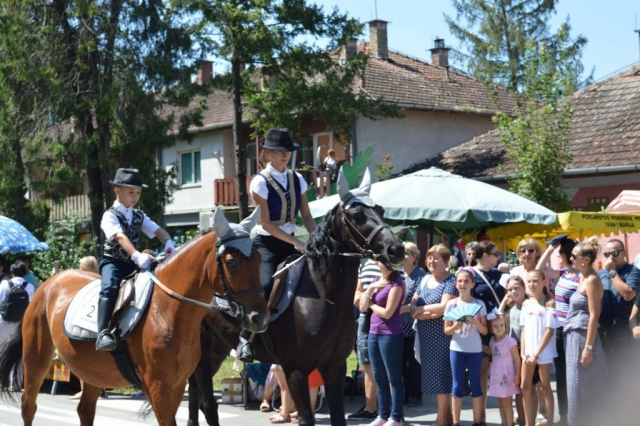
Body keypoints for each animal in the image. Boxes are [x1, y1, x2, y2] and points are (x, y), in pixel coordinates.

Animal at [0, 209, 268, 426]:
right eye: (231, 263)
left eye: (259, 259)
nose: (260, 318)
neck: (167, 310)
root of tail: (49, 283)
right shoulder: (158, 387)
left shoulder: (177, 384)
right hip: (36, 361)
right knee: (28, 406)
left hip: (92, 371)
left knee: (85, 410)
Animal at [188, 168, 402, 424]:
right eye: (358, 215)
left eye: (380, 211)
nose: (396, 249)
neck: (324, 298)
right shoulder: (296, 371)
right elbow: (306, 417)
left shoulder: (334, 368)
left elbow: (338, 417)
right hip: (201, 352)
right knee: (204, 401)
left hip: (214, 350)